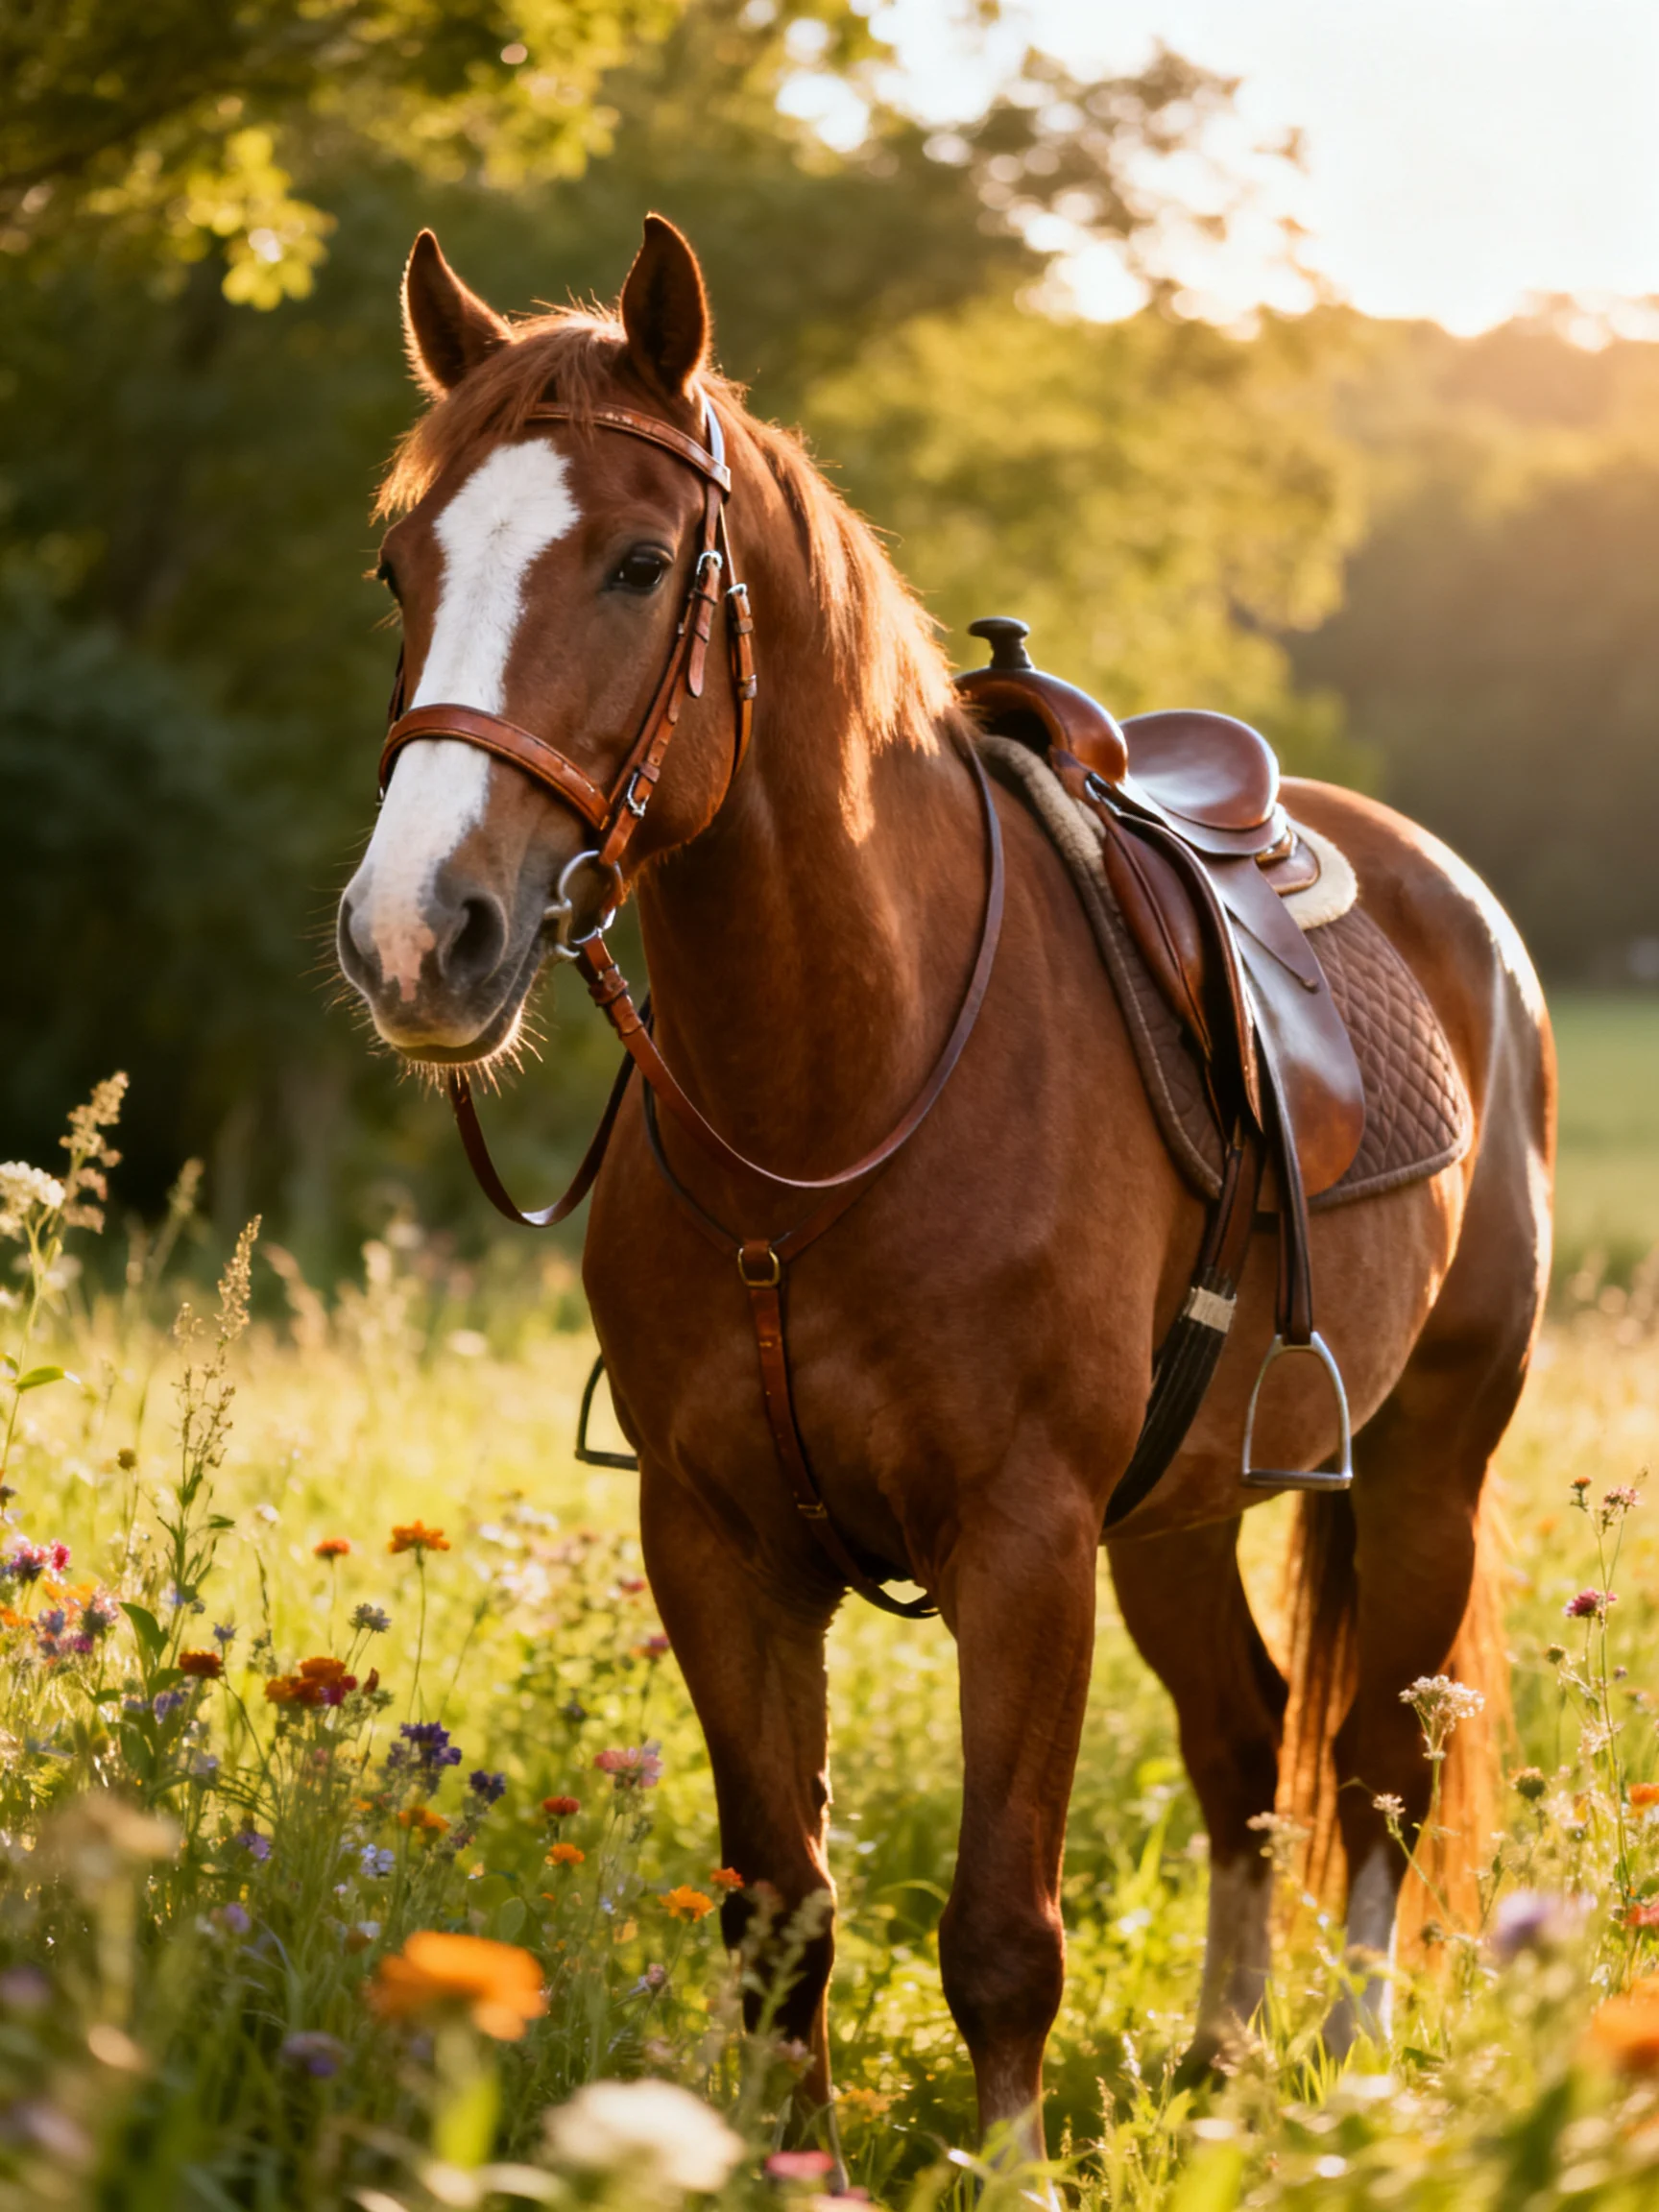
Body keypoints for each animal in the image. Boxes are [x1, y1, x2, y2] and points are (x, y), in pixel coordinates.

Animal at [335, 214, 1554, 2165]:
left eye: (640, 563)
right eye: (401, 568)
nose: (412, 934)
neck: (836, 1089)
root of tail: (1458, 903)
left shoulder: (1022, 1543)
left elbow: (1000, 1932)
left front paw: (1014, 2171)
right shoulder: (718, 1543)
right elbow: (781, 1912)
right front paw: (789, 2171)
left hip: (1430, 1458)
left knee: (1376, 1764)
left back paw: (1349, 2071)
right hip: (1181, 1510)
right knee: (1244, 1744)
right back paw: (1220, 2062)